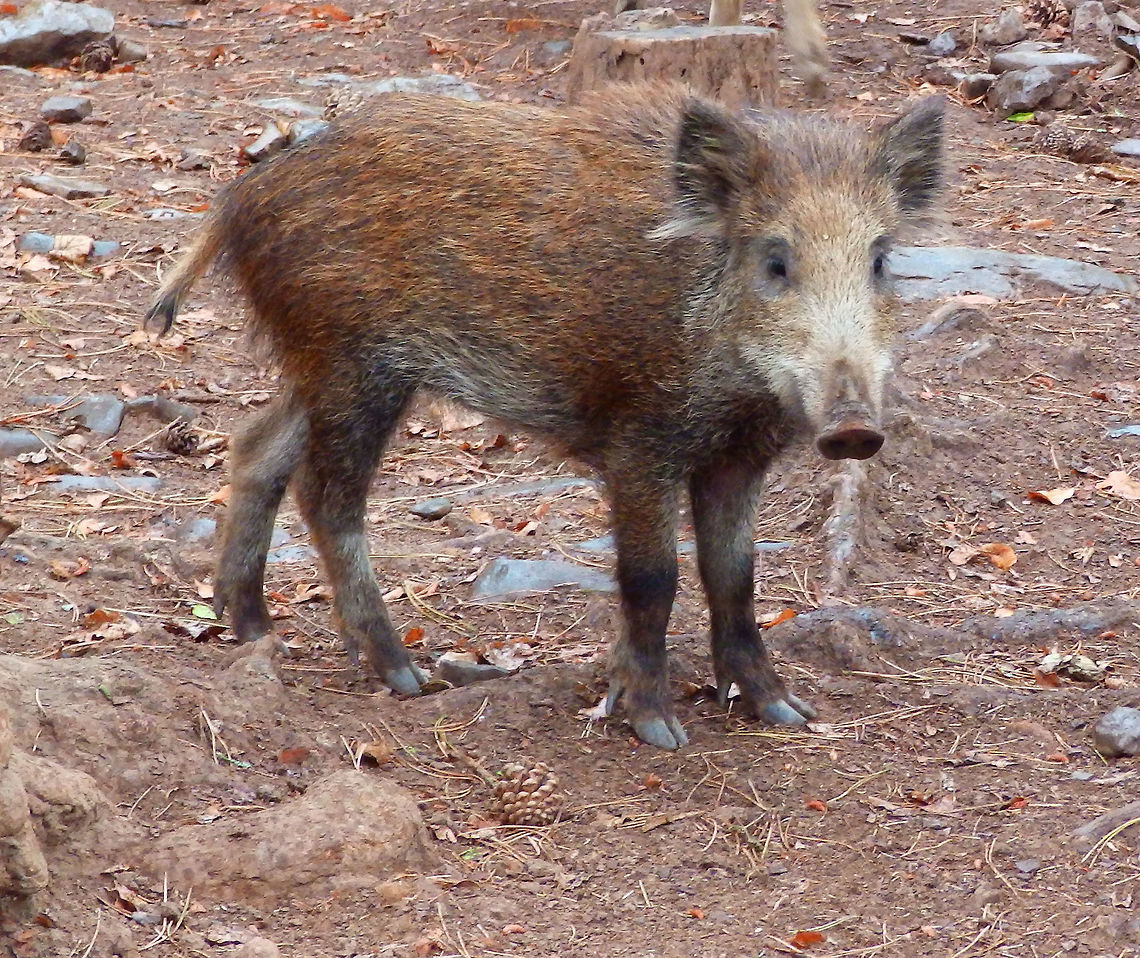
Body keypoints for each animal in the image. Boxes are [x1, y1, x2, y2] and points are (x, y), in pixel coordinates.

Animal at [147, 83, 943, 749]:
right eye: (776, 261)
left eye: (880, 259)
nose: (853, 428)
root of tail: (242, 196)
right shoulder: (639, 439)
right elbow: (653, 576)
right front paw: (657, 730)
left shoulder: (738, 457)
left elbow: (734, 576)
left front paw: (783, 711)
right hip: (356, 366)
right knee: (326, 495)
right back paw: (404, 675)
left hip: (318, 367)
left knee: (255, 447)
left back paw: (253, 630)